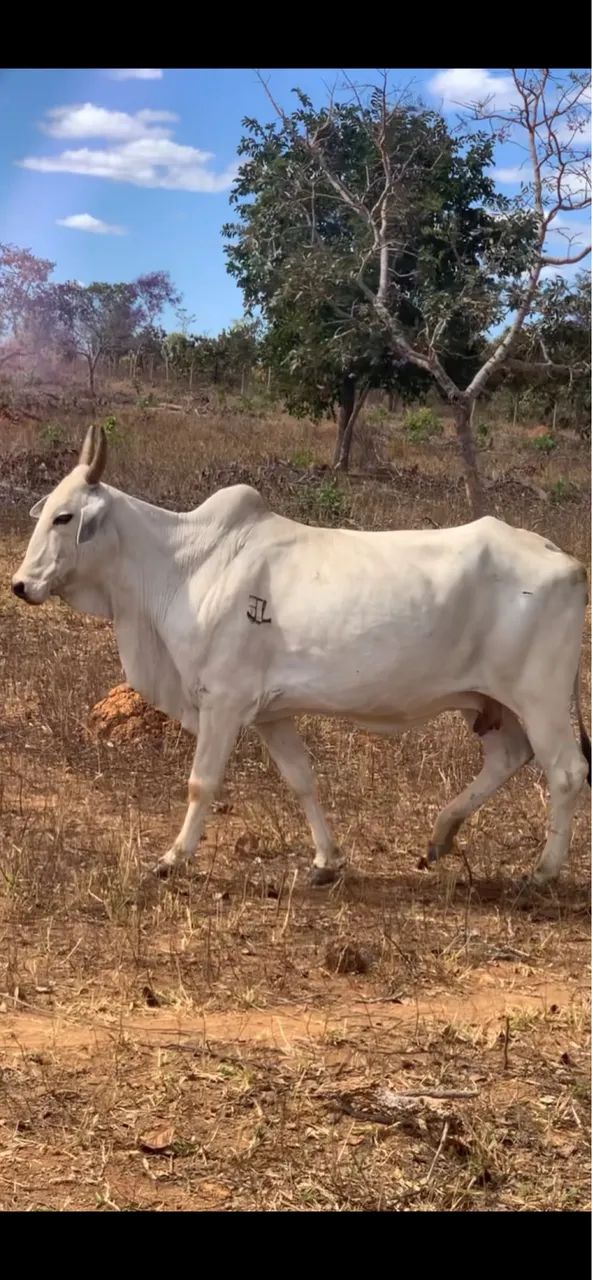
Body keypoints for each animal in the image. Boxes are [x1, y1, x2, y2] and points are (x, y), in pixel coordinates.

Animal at [11, 424, 591, 887]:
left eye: (64, 517)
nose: (20, 585)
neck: (185, 564)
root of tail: (566, 561)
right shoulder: (271, 712)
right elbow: (301, 779)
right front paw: (326, 861)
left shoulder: (223, 700)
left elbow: (202, 783)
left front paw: (173, 858)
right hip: (491, 702)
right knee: (509, 756)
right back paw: (441, 836)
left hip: (539, 697)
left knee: (565, 771)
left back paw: (541, 872)